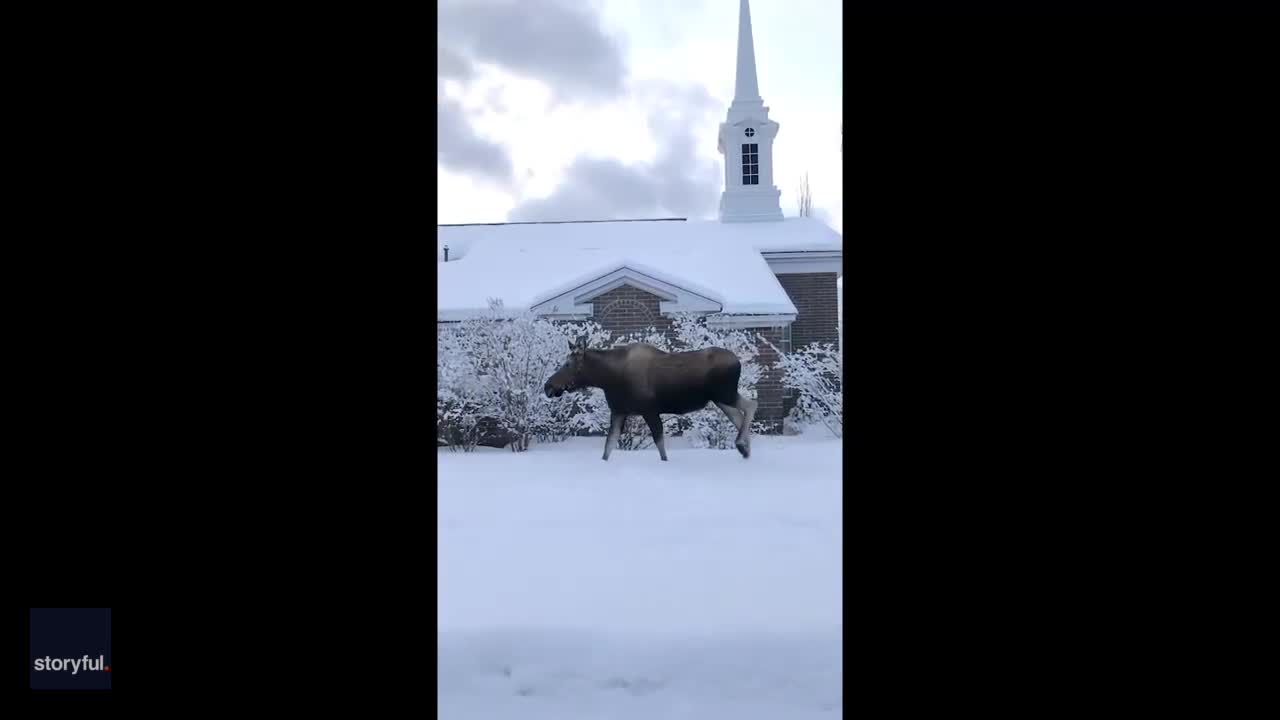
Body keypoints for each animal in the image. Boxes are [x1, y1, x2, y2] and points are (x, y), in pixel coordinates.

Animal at [542, 333, 757, 456]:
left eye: (567, 364)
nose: (548, 386)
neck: (609, 379)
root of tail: (738, 361)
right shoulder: (618, 412)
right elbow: (608, 447)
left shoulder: (650, 410)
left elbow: (661, 447)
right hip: (721, 399)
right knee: (740, 418)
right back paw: (746, 451)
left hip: (725, 393)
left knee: (751, 405)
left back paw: (741, 445)